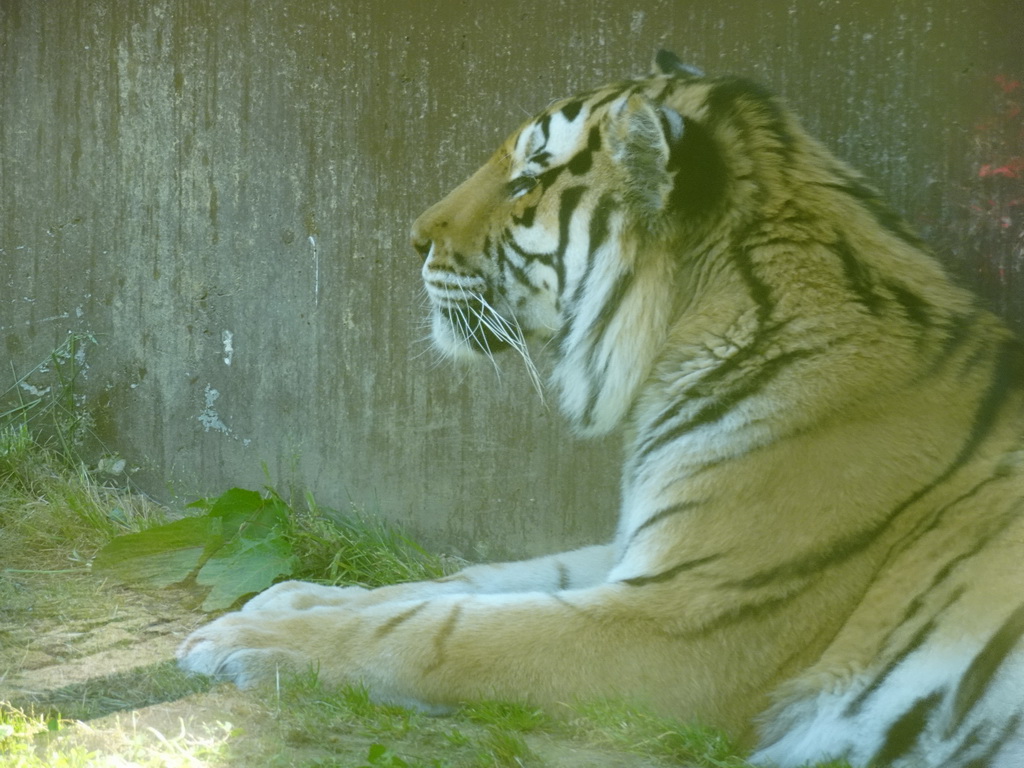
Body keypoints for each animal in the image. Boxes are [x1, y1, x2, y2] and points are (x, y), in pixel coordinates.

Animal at [178, 51, 1024, 765]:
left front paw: (251, 634)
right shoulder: (638, 550)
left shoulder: (686, 622)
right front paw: (297, 595)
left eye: (528, 181)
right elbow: (476, 579)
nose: (412, 239)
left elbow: (446, 633)